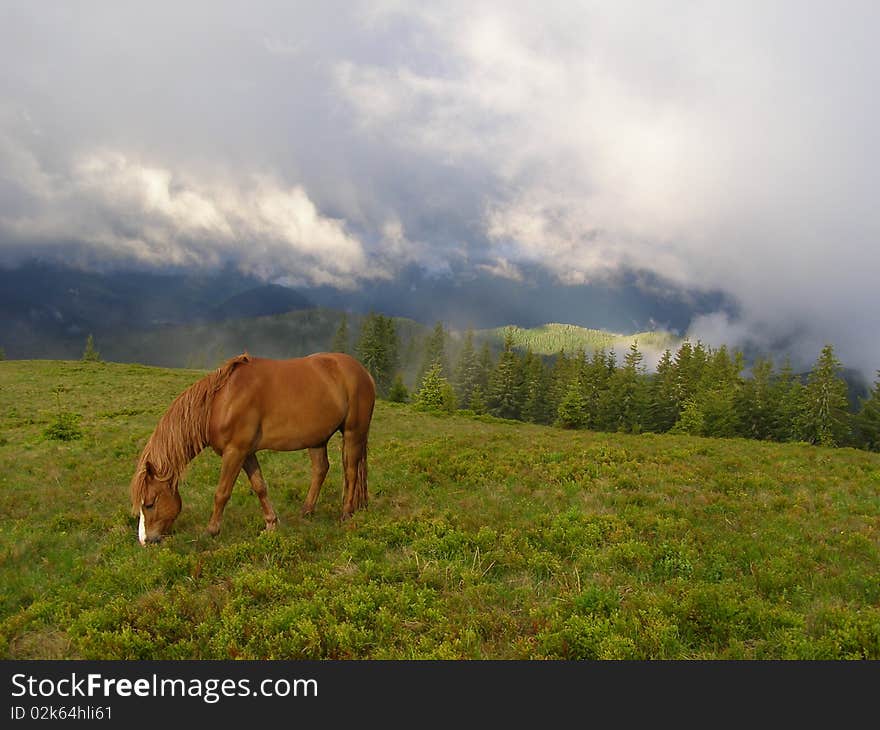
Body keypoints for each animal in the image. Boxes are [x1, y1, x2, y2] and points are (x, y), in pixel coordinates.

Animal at [128, 350, 374, 544]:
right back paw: (306, 511)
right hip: (316, 439)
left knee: (350, 471)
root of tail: (363, 372)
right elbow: (259, 487)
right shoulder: (247, 454)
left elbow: (222, 492)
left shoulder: (234, 452)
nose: (146, 541)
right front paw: (271, 524)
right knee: (321, 469)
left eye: (149, 504)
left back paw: (346, 513)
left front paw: (211, 531)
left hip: (353, 432)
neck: (221, 402)